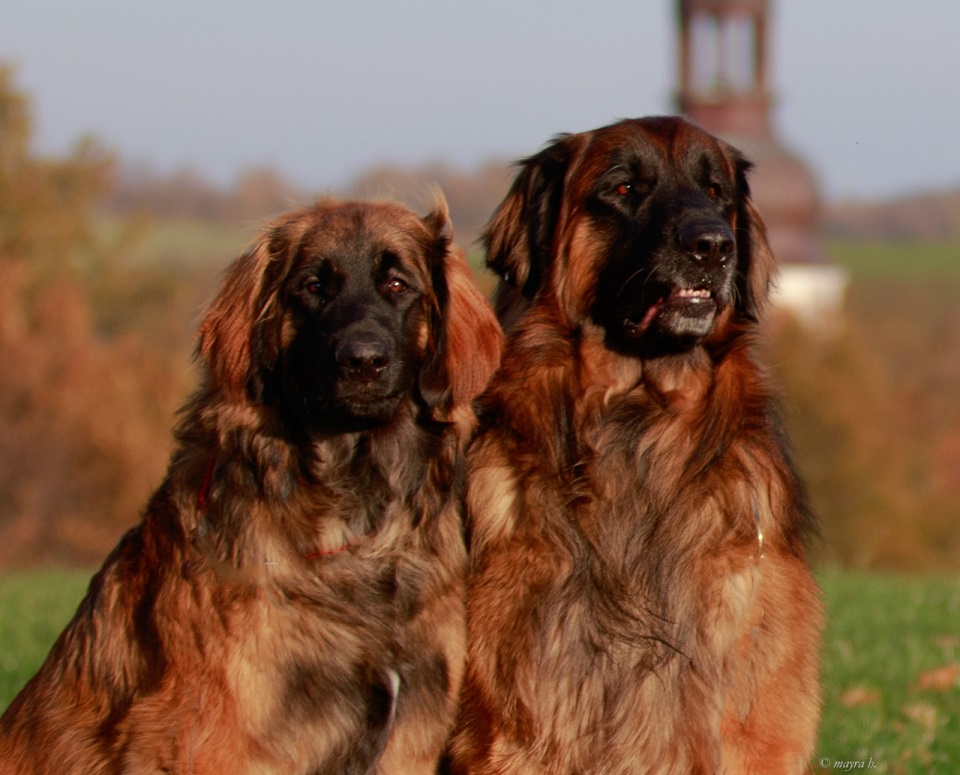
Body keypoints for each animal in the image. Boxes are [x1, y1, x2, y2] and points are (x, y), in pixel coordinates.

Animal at [0, 199, 506, 775]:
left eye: (398, 285)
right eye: (313, 287)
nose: (362, 362)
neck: (355, 521)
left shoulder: (410, 731)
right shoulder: (217, 735)